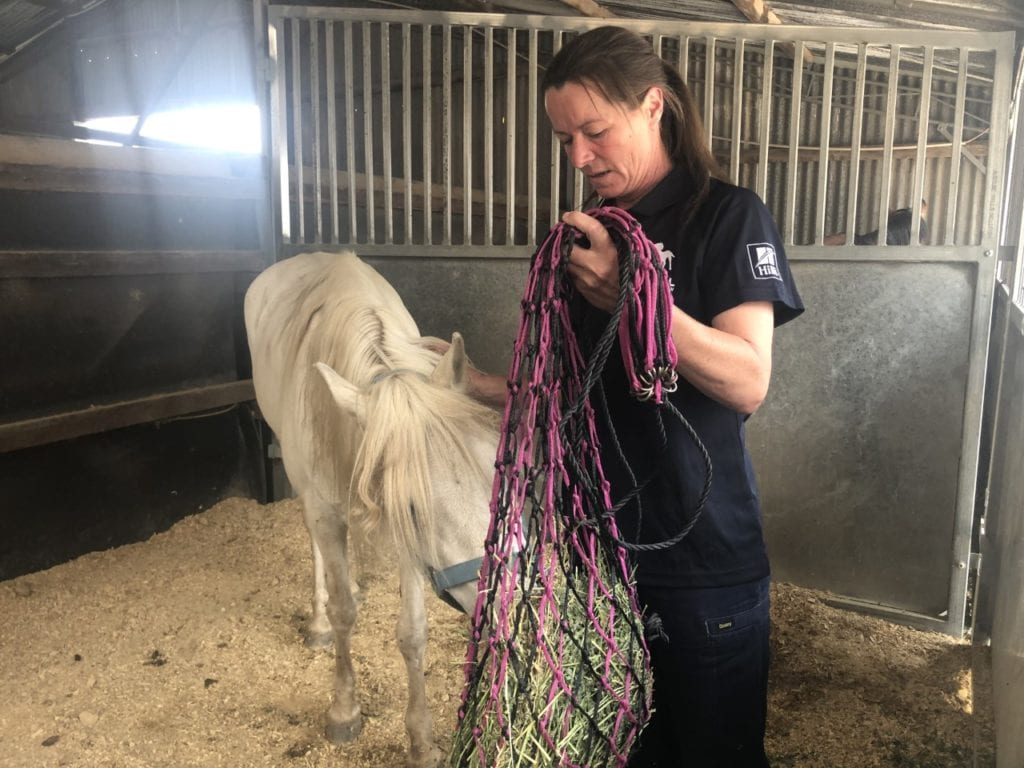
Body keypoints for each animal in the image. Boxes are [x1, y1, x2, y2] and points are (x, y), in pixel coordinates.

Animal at [243, 253, 499, 768]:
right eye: (414, 507)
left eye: (489, 467)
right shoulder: (331, 509)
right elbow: (343, 612)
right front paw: (344, 709)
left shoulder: (408, 543)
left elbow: (412, 631)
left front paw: (420, 740)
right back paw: (319, 621)